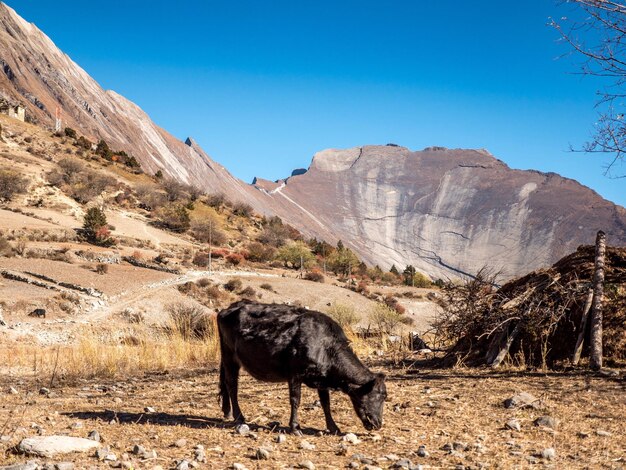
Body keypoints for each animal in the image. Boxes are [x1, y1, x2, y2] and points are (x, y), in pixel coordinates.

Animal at [216, 302, 386, 434]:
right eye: (379, 395)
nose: (378, 423)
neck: (325, 346)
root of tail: (229, 308)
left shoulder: (322, 380)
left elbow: (326, 403)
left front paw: (333, 427)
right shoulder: (295, 374)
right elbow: (295, 400)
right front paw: (295, 427)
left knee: (225, 383)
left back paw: (227, 411)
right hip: (230, 357)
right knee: (232, 385)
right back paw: (239, 417)